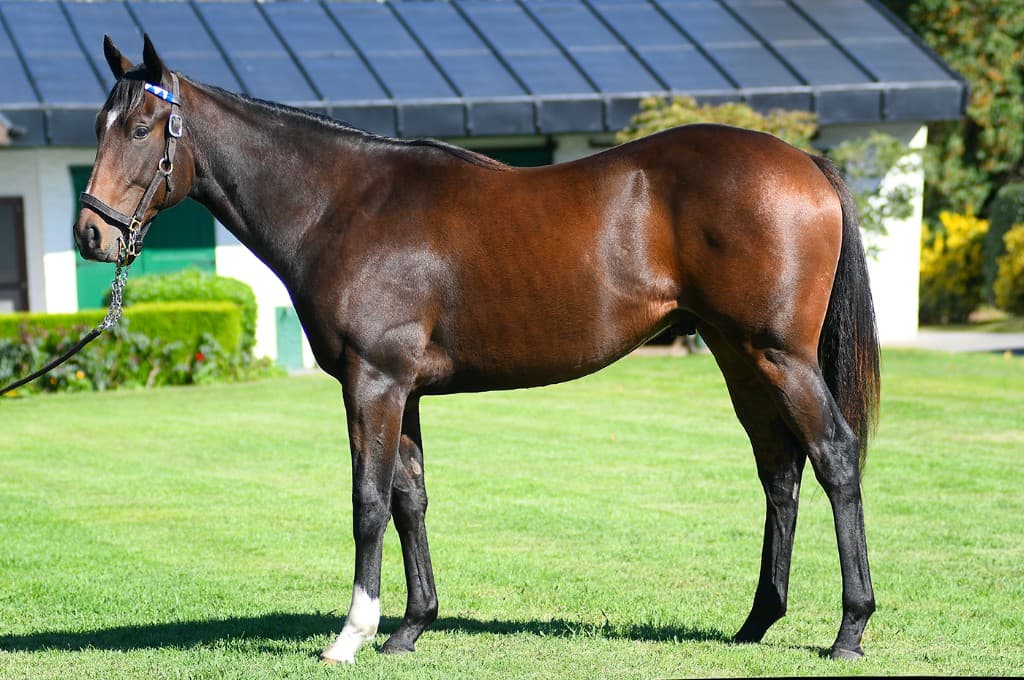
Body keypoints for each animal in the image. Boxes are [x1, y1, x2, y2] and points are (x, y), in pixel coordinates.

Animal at [74, 35, 879, 664]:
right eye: (99, 126)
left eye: (142, 127)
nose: (91, 235)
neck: (339, 205)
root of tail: (804, 162)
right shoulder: (402, 388)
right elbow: (411, 498)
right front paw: (410, 628)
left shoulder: (372, 382)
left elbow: (368, 499)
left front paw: (352, 633)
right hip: (737, 354)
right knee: (780, 468)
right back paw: (756, 623)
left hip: (778, 355)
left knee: (835, 457)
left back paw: (849, 629)